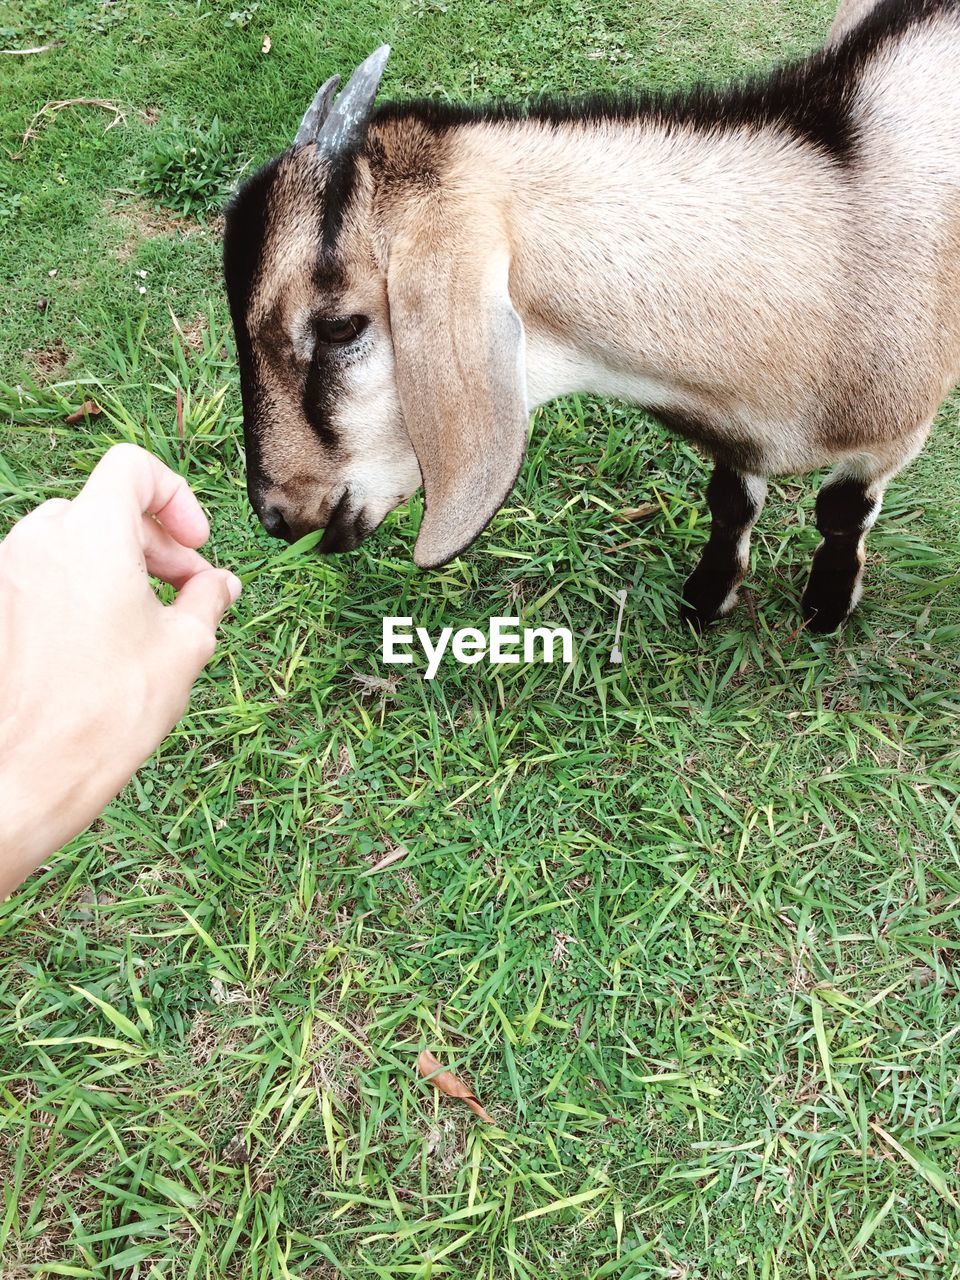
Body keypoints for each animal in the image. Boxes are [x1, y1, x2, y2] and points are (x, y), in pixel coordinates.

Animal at [224, 0, 960, 629]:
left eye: (340, 326)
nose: (276, 513)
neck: (838, 245)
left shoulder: (893, 437)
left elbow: (841, 513)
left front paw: (826, 609)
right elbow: (730, 501)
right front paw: (707, 598)